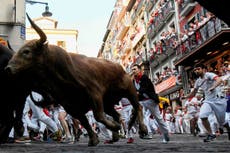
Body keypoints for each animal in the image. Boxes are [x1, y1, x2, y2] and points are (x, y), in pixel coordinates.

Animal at [5, 14, 149, 146]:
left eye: (26, 51)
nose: (8, 68)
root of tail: (119, 67)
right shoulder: (71, 106)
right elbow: (84, 122)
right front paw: (94, 139)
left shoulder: (94, 94)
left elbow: (98, 116)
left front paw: (113, 128)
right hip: (108, 103)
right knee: (117, 115)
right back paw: (115, 136)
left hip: (129, 89)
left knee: (138, 107)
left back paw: (142, 130)